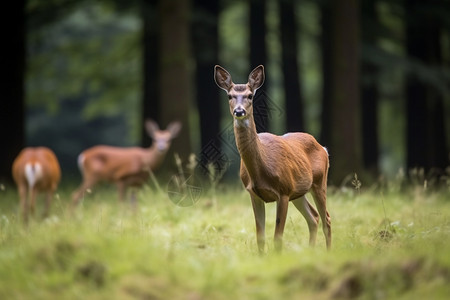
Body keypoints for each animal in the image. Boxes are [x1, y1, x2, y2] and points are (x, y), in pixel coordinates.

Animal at [213, 64, 332, 252]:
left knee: (326, 218)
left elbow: (277, 238)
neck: (261, 170)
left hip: (319, 182)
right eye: (229, 96)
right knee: (313, 217)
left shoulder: (283, 191)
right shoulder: (253, 193)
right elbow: (260, 238)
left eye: (250, 95)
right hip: (298, 191)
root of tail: (323, 148)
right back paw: (311, 251)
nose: (239, 111)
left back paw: (327, 252)